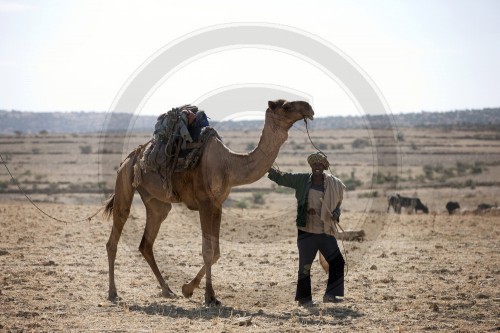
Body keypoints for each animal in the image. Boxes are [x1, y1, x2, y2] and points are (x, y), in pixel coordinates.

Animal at [103, 99, 314, 306]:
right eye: (286, 106)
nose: (309, 108)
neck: (229, 165)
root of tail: (130, 157)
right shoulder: (204, 203)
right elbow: (207, 250)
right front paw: (207, 296)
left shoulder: (217, 205)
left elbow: (216, 252)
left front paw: (188, 289)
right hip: (124, 182)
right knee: (114, 235)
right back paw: (113, 293)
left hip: (156, 202)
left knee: (146, 242)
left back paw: (167, 290)